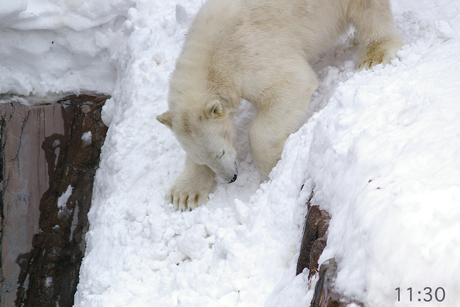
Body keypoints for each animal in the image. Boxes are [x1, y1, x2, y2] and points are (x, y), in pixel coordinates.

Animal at [158, 0, 402, 211]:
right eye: (205, 160)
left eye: (220, 152)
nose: (231, 178)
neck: (211, 55)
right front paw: (185, 195)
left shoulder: (250, 52)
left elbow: (291, 85)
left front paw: (276, 164)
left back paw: (376, 54)